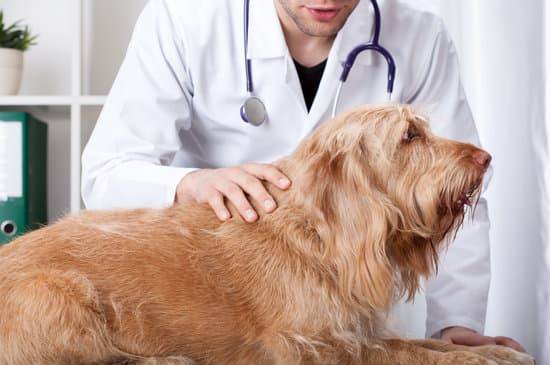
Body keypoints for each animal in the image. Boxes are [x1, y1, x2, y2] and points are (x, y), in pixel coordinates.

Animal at [0, 104, 536, 362]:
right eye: (409, 136)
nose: (486, 158)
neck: (319, 237)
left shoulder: (355, 334)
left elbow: (435, 345)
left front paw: (486, 347)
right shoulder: (316, 349)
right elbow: (409, 353)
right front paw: (486, 360)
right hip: (58, 293)